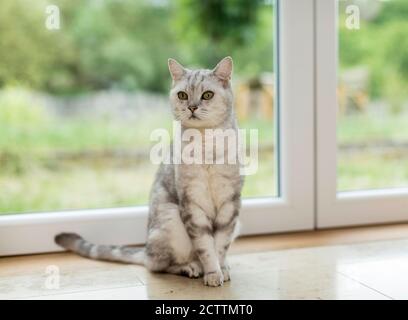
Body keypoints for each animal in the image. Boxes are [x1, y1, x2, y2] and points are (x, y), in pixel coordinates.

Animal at [55, 57, 244, 288]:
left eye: (207, 95)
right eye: (182, 95)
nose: (192, 107)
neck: (206, 143)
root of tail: (145, 248)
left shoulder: (230, 203)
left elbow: (221, 244)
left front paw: (221, 269)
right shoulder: (192, 202)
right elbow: (206, 246)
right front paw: (212, 273)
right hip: (170, 220)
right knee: (158, 264)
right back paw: (190, 267)